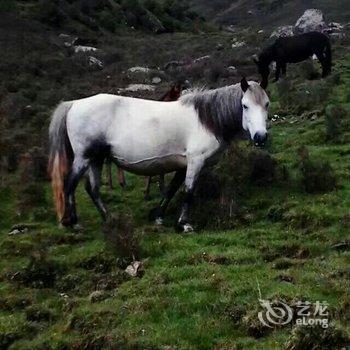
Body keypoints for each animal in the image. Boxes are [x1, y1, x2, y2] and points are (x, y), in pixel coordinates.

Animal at [48, 79, 268, 232]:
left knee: (92, 189)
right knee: (70, 184)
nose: (260, 137)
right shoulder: (195, 160)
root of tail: (73, 103)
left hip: (97, 158)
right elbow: (189, 191)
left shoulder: (184, 164)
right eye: (245, 105)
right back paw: (73, 222)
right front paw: (184, 224)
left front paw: (158, 216)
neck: (206, 119)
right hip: (84, 157)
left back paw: (109, 219)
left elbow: (171, 189)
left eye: (267, 104)